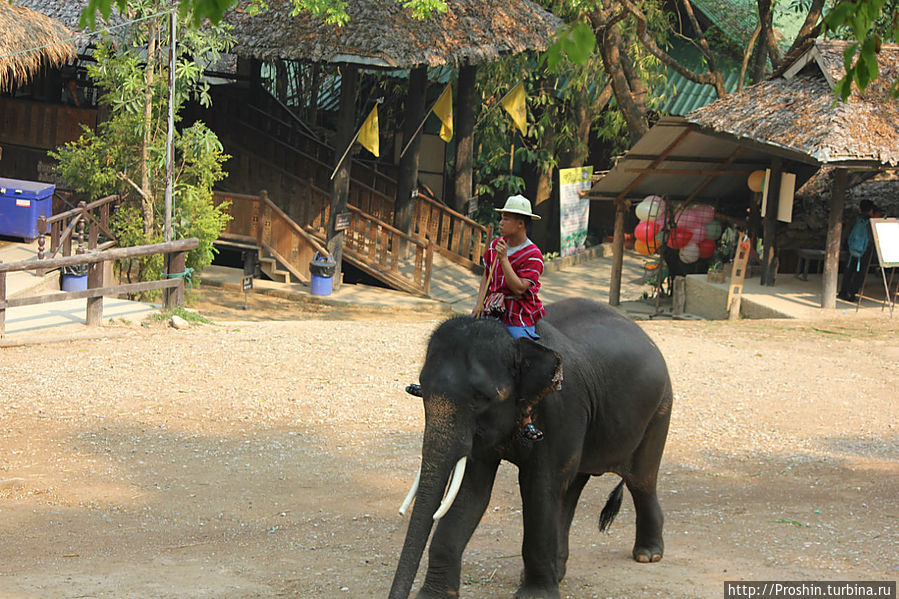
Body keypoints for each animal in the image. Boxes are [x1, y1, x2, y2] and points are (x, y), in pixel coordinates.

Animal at [390, 298, 672, 599]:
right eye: (421, 389)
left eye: (481, 397)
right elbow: (472, 491)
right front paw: (433, 596)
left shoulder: (560, 409)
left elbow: (539, 486)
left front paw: (536, 595)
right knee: (571, 488)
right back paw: (558, 571)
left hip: (660, 410)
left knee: (640, 480)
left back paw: (648, 555)